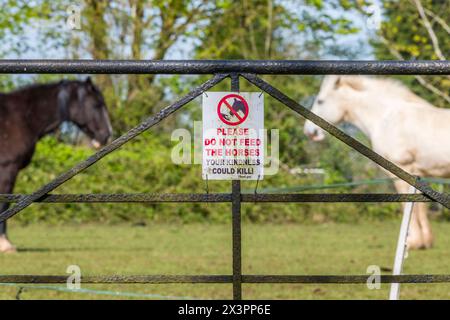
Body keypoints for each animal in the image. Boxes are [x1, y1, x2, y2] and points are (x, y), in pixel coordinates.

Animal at [0, 77, 112, 252]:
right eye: (96, 105)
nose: (106, 135)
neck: (21, 118)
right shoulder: (7, 169)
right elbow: (4, 202)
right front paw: (5, 244)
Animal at [302, 75, 450, 250]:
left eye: (320, 101)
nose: (309, 131)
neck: (385, 118)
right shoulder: (417, 172)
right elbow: (420, 206)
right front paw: (425, 241)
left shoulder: (403, 169)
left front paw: (413, 242)